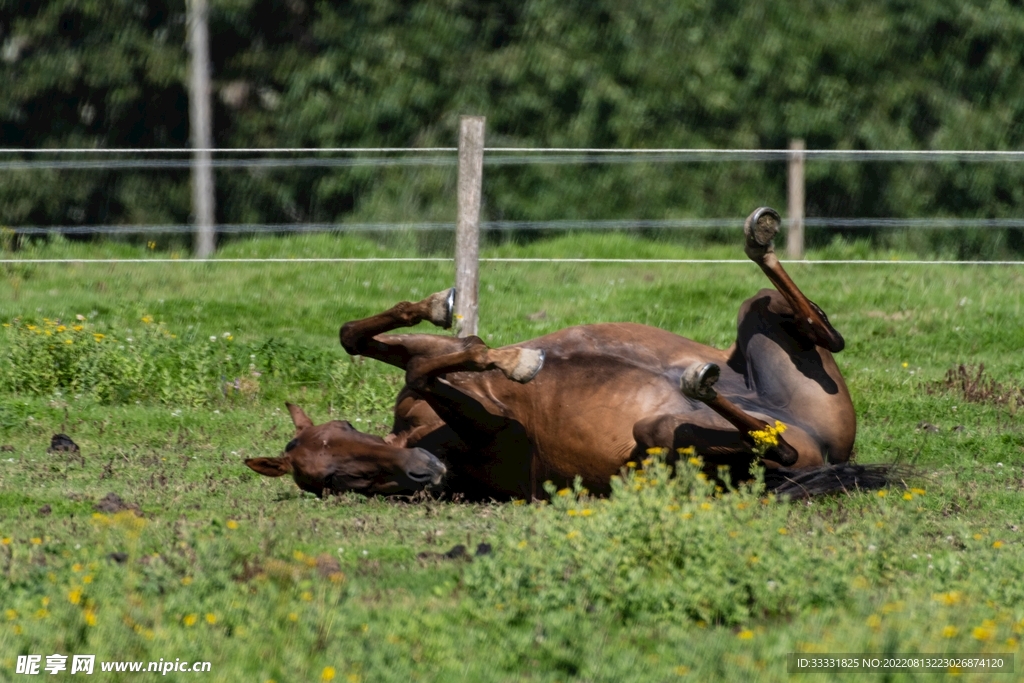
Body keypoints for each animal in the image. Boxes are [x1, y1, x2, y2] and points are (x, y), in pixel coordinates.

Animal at [247, 207, 890, 500]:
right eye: (337, 480)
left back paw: (758, 241)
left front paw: (461, 323)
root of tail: (829, 452)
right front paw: (512, 360)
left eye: (345, 428)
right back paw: (704, 383)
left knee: (814, 327)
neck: (419, 436)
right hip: (665, 432)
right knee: (776, 446)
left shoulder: (432, 376)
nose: (422, 472)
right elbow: (426, 363)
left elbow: (378, 343)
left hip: (765, 325)